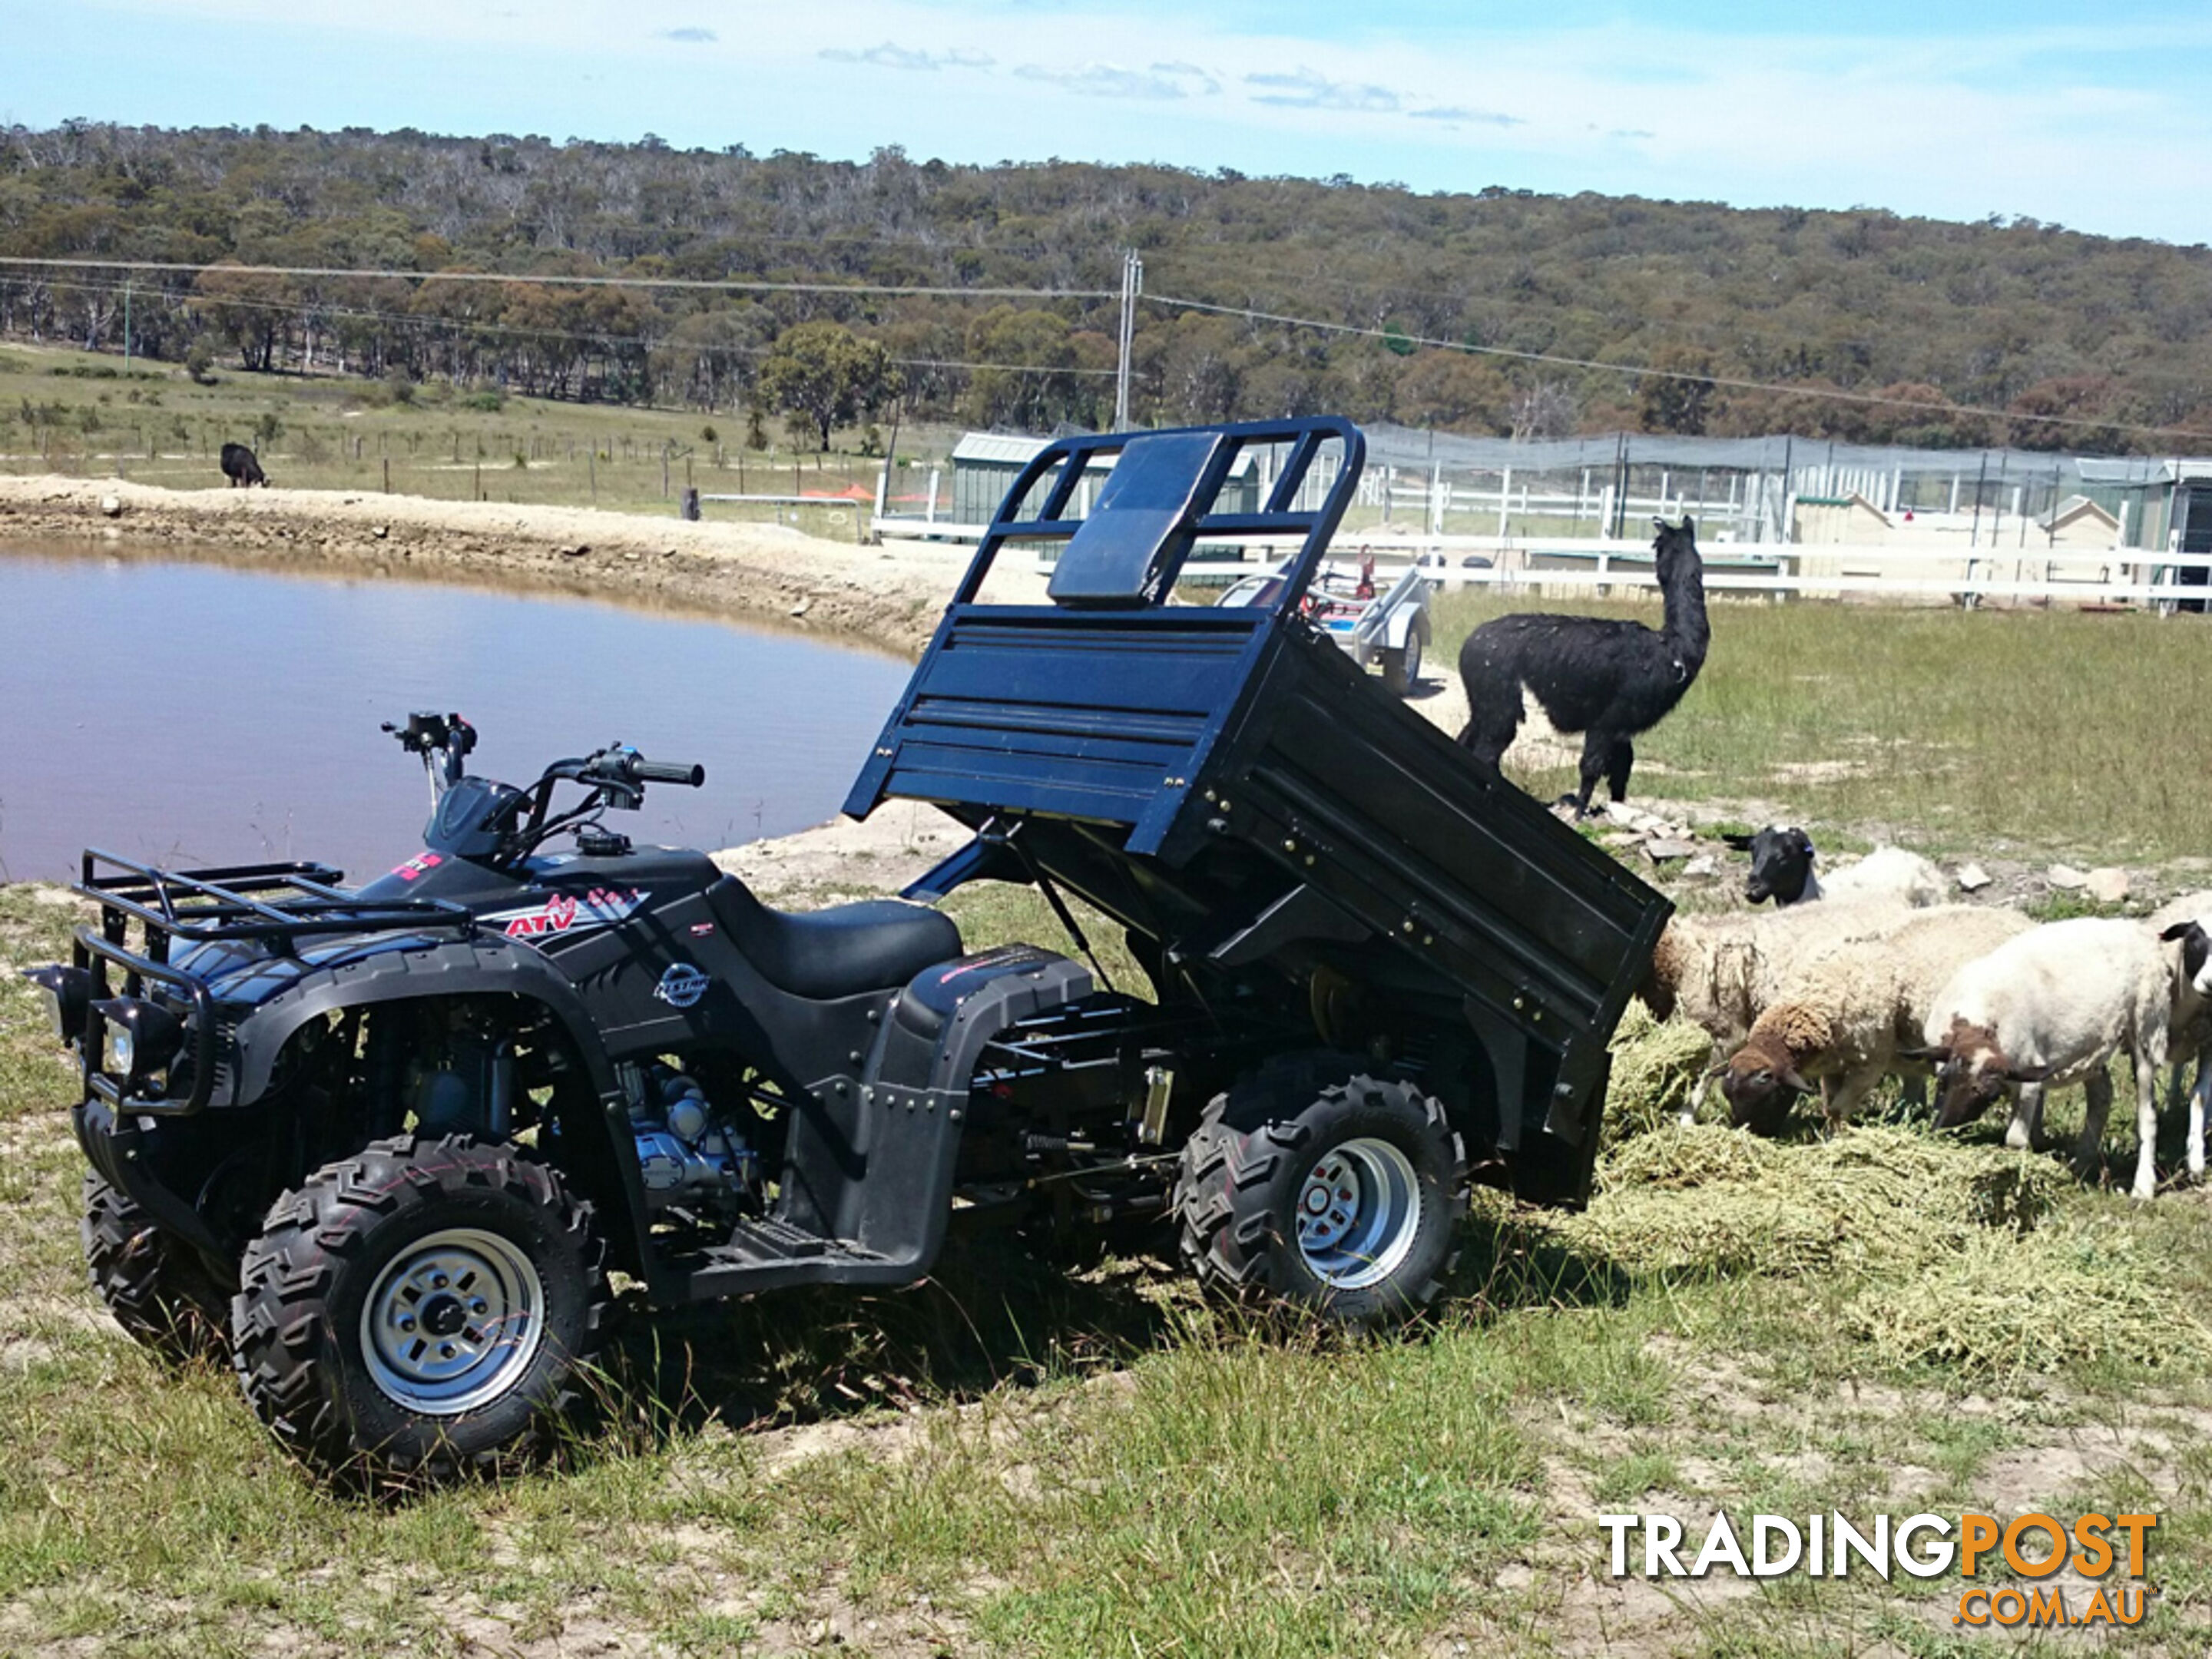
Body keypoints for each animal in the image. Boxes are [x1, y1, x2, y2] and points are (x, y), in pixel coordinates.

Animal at [1716, 902, 2026, 1141]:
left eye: (1769, 1095)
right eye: (1729, 1096)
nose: (1755, 1136)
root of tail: (2019, 918)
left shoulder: (1869, 1065)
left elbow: (1838, 1109)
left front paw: (1832, 1139)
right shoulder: (1834, 1066)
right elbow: (1829, 1107)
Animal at [1929, 924, 2185, 1212]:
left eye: (1990, 1095)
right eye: (1942, 1083)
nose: (1943, 1131)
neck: (1979, 1014)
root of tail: (2139, 929)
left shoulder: (2028, 1080)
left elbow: (2015, 1139)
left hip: (2146, 1027)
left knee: (2147, 1115)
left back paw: (2142, 1187)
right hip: (2093, 1044)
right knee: (2102, 1095)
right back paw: (2081, 1165)